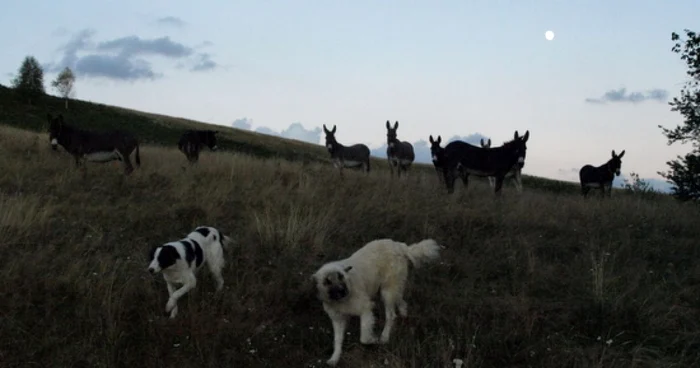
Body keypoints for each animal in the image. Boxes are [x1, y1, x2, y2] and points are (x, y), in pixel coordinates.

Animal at [310, 239, 442, 366]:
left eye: (340, 276)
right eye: (327, 281)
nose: (343, 291)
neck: (342, 299)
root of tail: (399, 245)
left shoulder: (365, 309)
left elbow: (363, 337)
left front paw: (374, 339)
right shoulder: (338, 319)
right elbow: (337, 340)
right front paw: (334, 358)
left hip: (387, 292)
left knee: (391, 315)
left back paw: (384, 337)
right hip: (393, 289)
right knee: (402, 301)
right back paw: (404, 316)